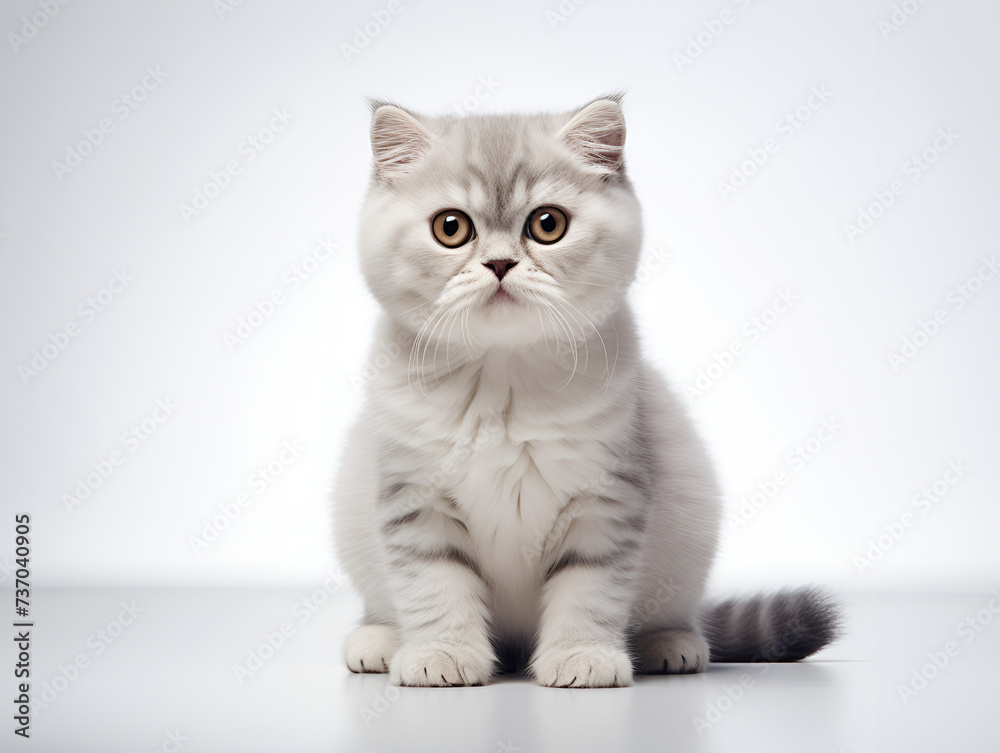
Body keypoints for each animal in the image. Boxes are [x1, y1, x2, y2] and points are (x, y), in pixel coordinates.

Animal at [332, 94, 840, 688]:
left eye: (547, 224)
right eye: (451, 227)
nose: (500, 264)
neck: (502, 378)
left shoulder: (606, 500)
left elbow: (587, 590)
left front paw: (583, 657)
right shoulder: (416, 498)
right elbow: (434, 584)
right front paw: (442, 653)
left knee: (680, 618)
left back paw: (670, 646)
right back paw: (380, 640)